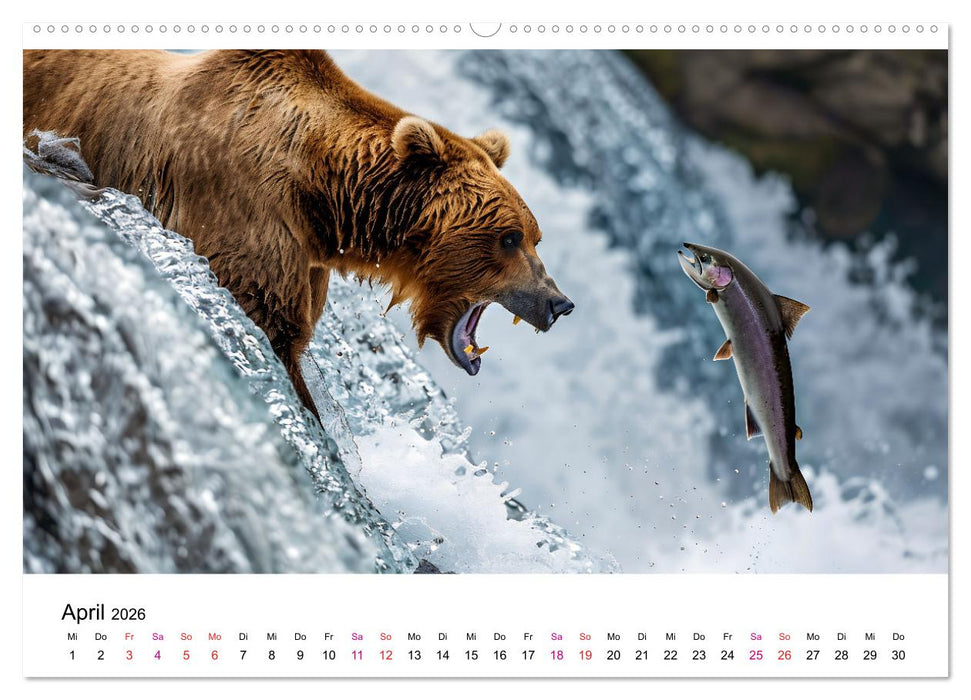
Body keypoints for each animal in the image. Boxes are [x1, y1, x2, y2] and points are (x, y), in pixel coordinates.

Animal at [23, 50, 575, 417]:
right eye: (510, 237)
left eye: (535, 236)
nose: (558, 303)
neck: (326, 198)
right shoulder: (242, 211)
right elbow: (268, 323)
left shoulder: (308, 263)